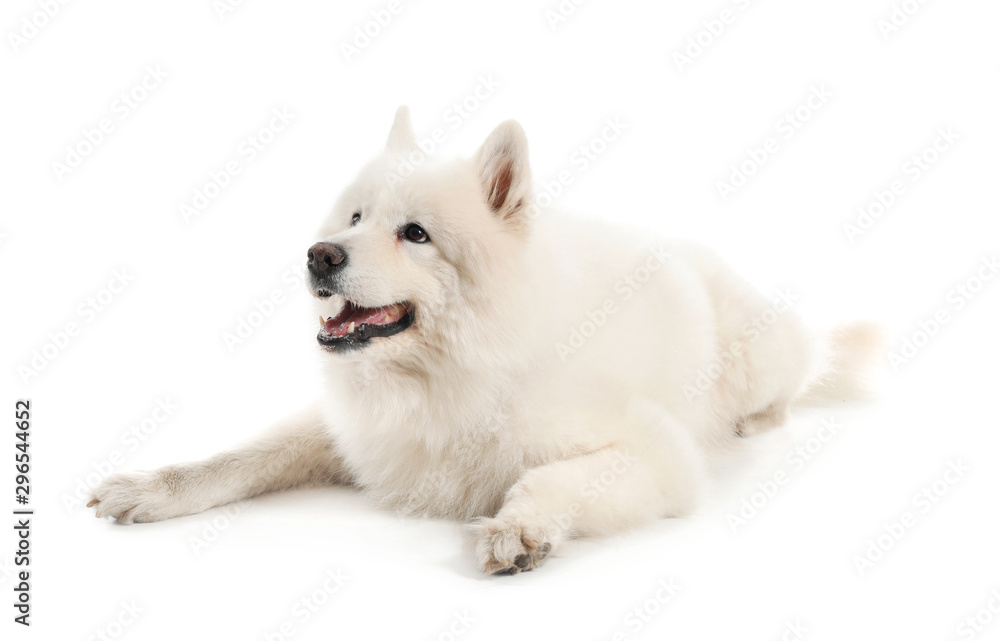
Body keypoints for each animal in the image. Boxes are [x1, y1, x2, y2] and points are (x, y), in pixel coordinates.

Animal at [90, 106, 880, 576]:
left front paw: (519, 527)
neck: (450, 374)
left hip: (755, 358)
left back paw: (757, 420)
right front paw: (151, 489)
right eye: (354, 218)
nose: (319, 256)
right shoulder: (353, 431)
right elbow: (238, 457)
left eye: (415, 234)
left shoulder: (660, 454)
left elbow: (551, 477)